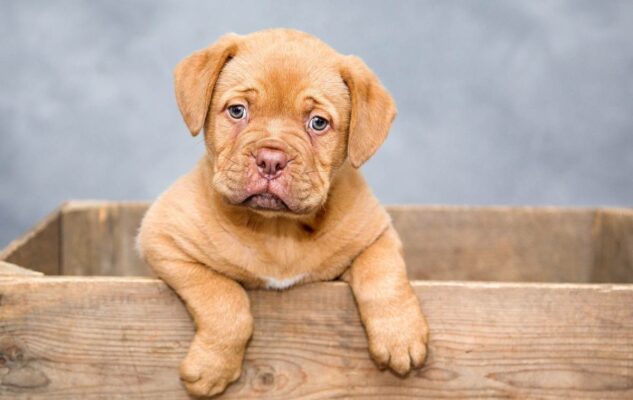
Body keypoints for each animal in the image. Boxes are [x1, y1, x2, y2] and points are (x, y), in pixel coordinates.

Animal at [137, 28, 428, 398]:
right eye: (237, 111)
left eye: (318, 122)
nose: (271, 160)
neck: (278, 230)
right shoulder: (163, 238)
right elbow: (224, 298)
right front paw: (212, 368)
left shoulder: (376, 233)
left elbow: (383, 274)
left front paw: (399, 336)